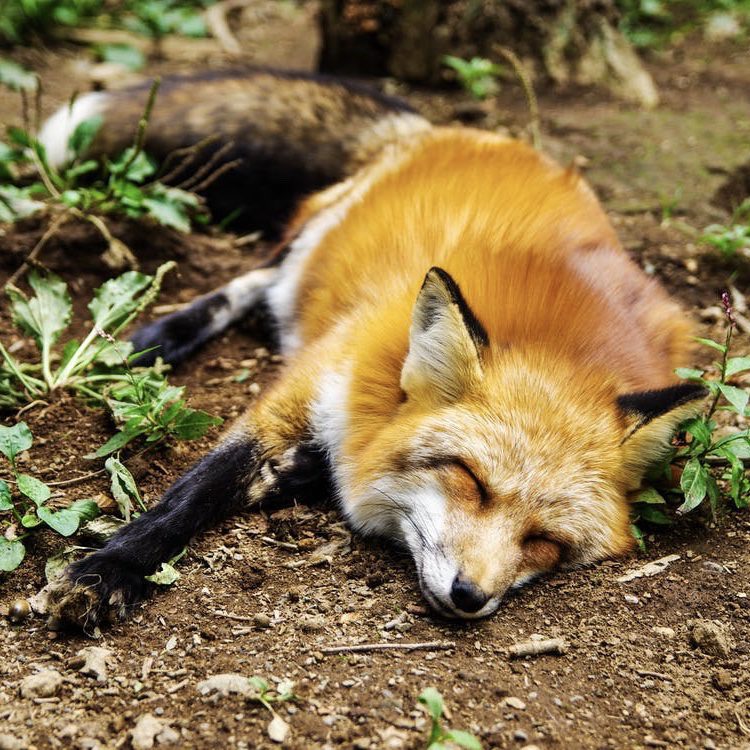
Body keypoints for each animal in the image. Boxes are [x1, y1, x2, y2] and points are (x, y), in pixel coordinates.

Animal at [40, 68, 706, 627]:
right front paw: (109, 570)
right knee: (261, 276)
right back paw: (162, 337)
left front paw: (298, 470)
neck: (559, 344)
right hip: (315, 235)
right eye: (470, 480)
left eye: (545, 542)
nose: (471, 596)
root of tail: (453, 131)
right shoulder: (307, 381)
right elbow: (192, 492)